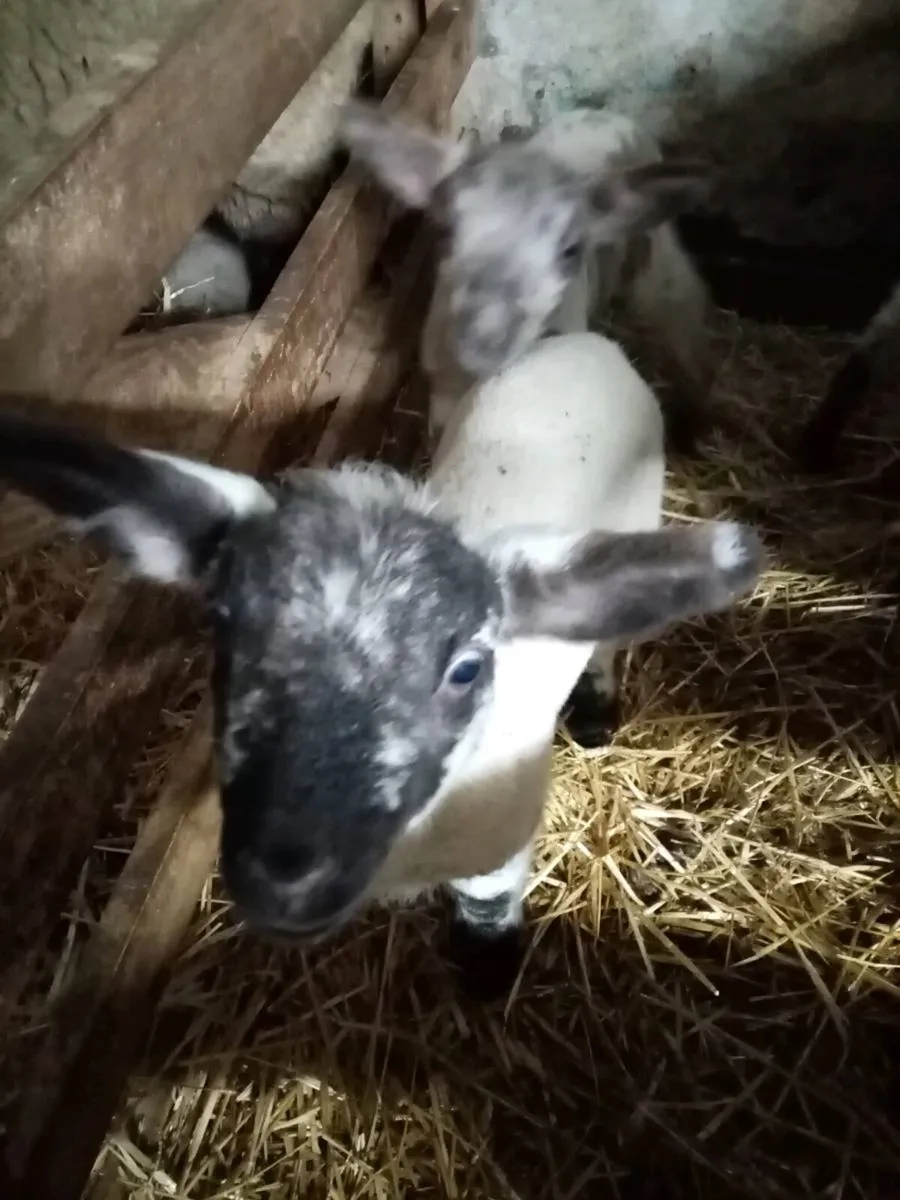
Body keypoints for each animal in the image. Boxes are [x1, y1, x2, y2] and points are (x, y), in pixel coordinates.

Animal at [0, 341, 762, 998]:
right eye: (222, 622)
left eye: (465, 668)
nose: (286, 877)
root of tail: (587, 342)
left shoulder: (499, 846)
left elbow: (488, 906)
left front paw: (486, 972)